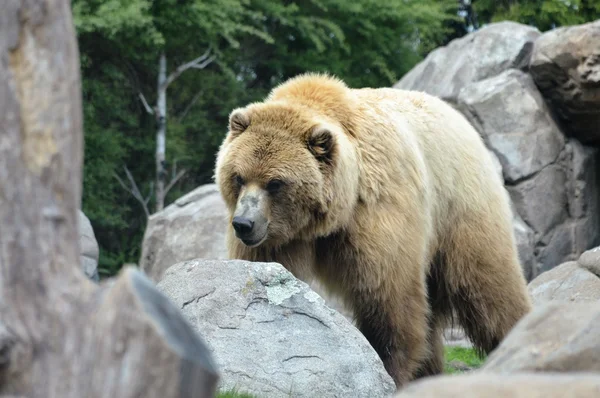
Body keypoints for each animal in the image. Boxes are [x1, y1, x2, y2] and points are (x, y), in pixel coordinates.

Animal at [213, 73, 532, 388]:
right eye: (239, 176)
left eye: (275, 182)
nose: (244, 224)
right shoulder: (278, 240)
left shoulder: (378, 214)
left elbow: (388, 298)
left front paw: (388, 368)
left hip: (461, 207)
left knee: (488, 287)